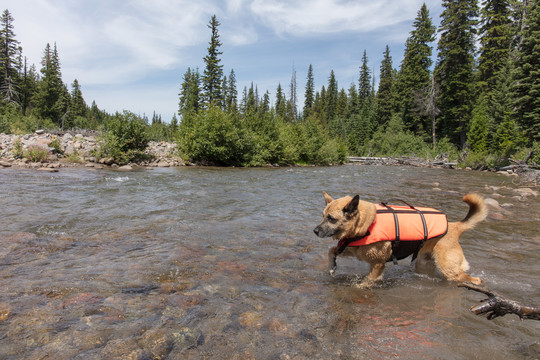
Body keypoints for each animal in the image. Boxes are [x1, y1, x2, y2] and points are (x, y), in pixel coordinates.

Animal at [310, 193, 488, 288]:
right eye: (323, 216)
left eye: (331, 219)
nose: (315, 231)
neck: (366, 225)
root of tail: (455, 226)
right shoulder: (354, 250)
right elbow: (331, 251)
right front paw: (332, 267)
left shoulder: (377, 264)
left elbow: (367, 281)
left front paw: (359, 287)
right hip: (423, 264)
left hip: (448, 268)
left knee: (471, 278)